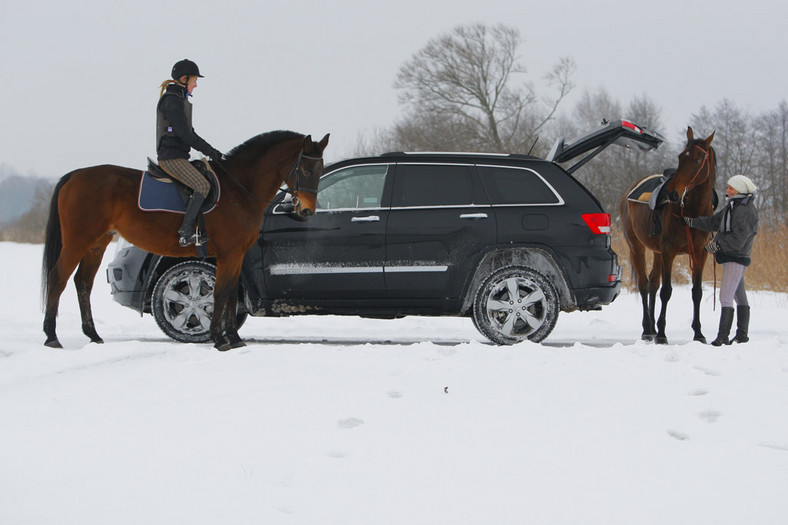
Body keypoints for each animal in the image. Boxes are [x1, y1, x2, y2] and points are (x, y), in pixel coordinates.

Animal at [40, 130, 330, 352]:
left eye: (320, 169)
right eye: (305, 169)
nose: (306, 210)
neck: (240, 190)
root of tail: (75, 175)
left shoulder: (236, 255)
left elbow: (229, 294)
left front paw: (234, 338)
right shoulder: (228, 254)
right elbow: (221, 293)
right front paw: (219, 340)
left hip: (96, 244)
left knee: (83, 283)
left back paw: (93, 335)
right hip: (77, 241)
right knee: (58, 278)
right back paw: (52, 337)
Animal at [620, 127, 716, 344]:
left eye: (698, 159)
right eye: (681, 156)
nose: (673, 193)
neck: (691, 213)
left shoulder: (700, 253)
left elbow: (696, 292)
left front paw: (698, 333)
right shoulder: (669, 251)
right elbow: (666, 291)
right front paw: (662, 334)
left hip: (656, 252)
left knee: (653, 283)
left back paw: (653, 328)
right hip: (636, 247)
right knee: (644, 284)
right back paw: (648, 329)